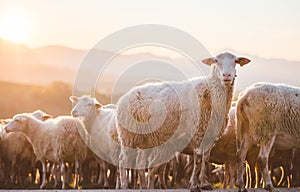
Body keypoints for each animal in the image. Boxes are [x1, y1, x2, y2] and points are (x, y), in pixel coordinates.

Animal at [115, 51, 251, 190]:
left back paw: (144, 186)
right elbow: (198, 159)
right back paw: (125, 185)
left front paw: (204, 183)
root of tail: (124, 97)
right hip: (128, 136)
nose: (227, 75)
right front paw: (194, 184)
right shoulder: (198, 133)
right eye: (216, 61)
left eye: (235, 61)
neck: (211, 93)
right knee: (123, 160)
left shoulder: (210, 135)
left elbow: (205, 159)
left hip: (145, 139)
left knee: (141, 164)